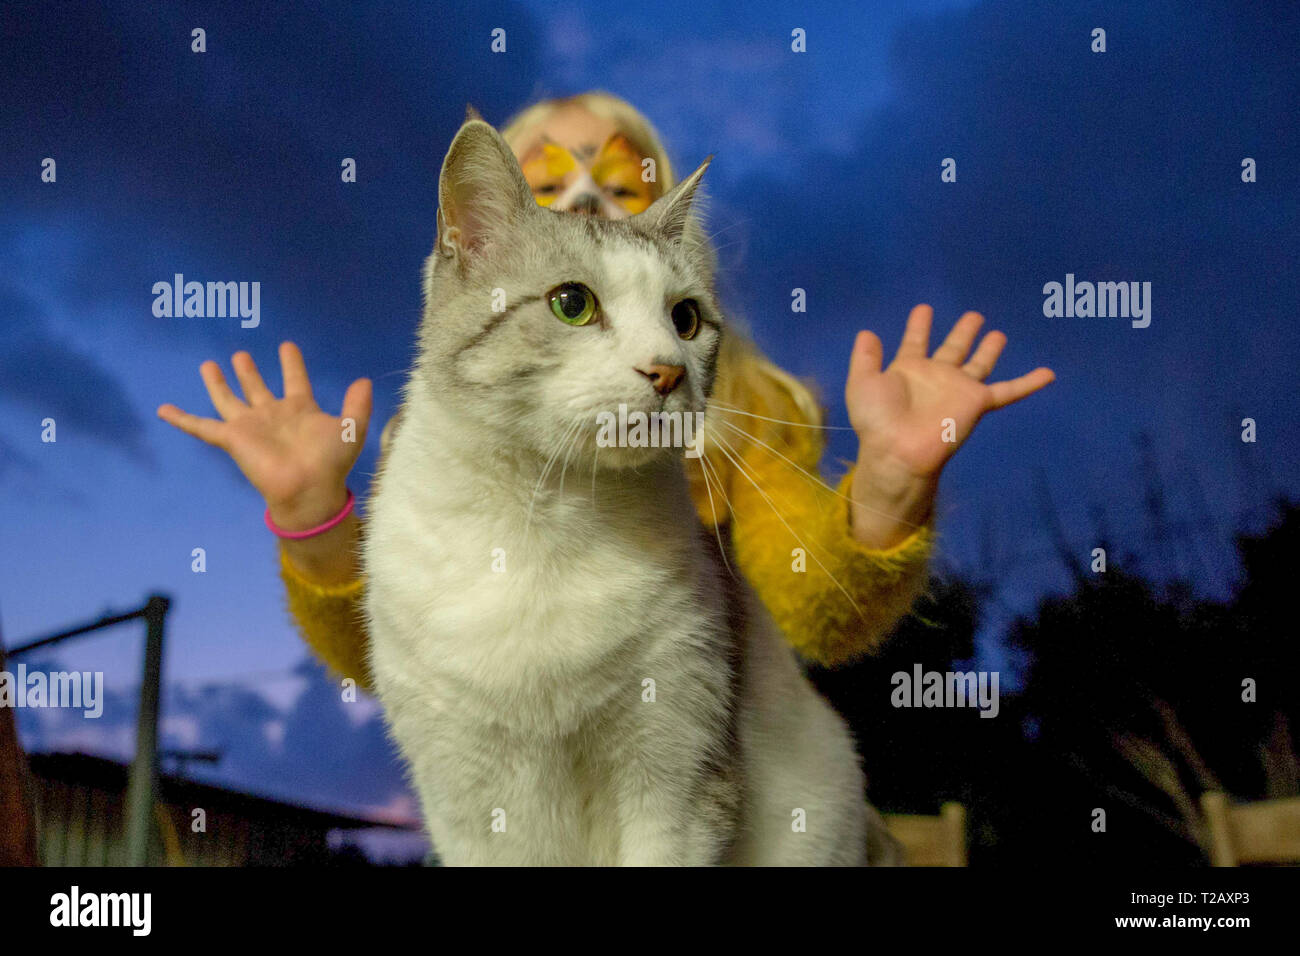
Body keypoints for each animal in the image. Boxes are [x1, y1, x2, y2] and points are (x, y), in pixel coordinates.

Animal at [361, 117, 878, 868]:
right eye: (572, 304)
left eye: (686, 319)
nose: (666, 371)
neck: (544, 514)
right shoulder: (464, 797)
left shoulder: (679, 779)